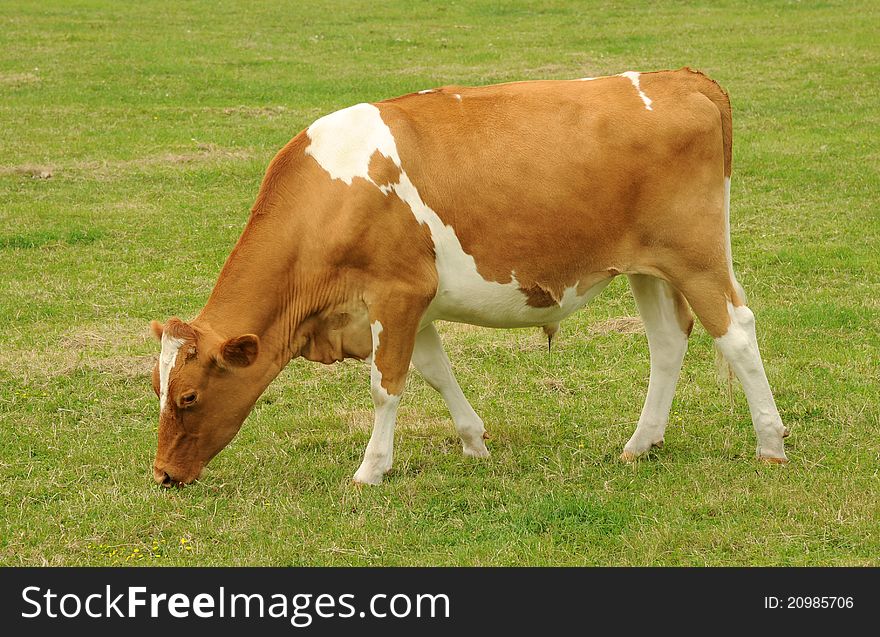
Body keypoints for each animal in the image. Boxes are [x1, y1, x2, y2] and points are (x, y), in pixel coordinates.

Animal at [150, 68, 792, 486]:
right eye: (157, 389)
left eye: (188, 396)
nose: (163, 475)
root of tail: (681, 77)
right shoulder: (414, 305)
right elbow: (435, 373)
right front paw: (474, 442)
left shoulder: (396, 294)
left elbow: (386, 386)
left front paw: (370, 470)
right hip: (648, 267)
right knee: (666, 342)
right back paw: (641, 443)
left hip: (696, 256)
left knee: (737, 331)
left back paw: (770, 443)